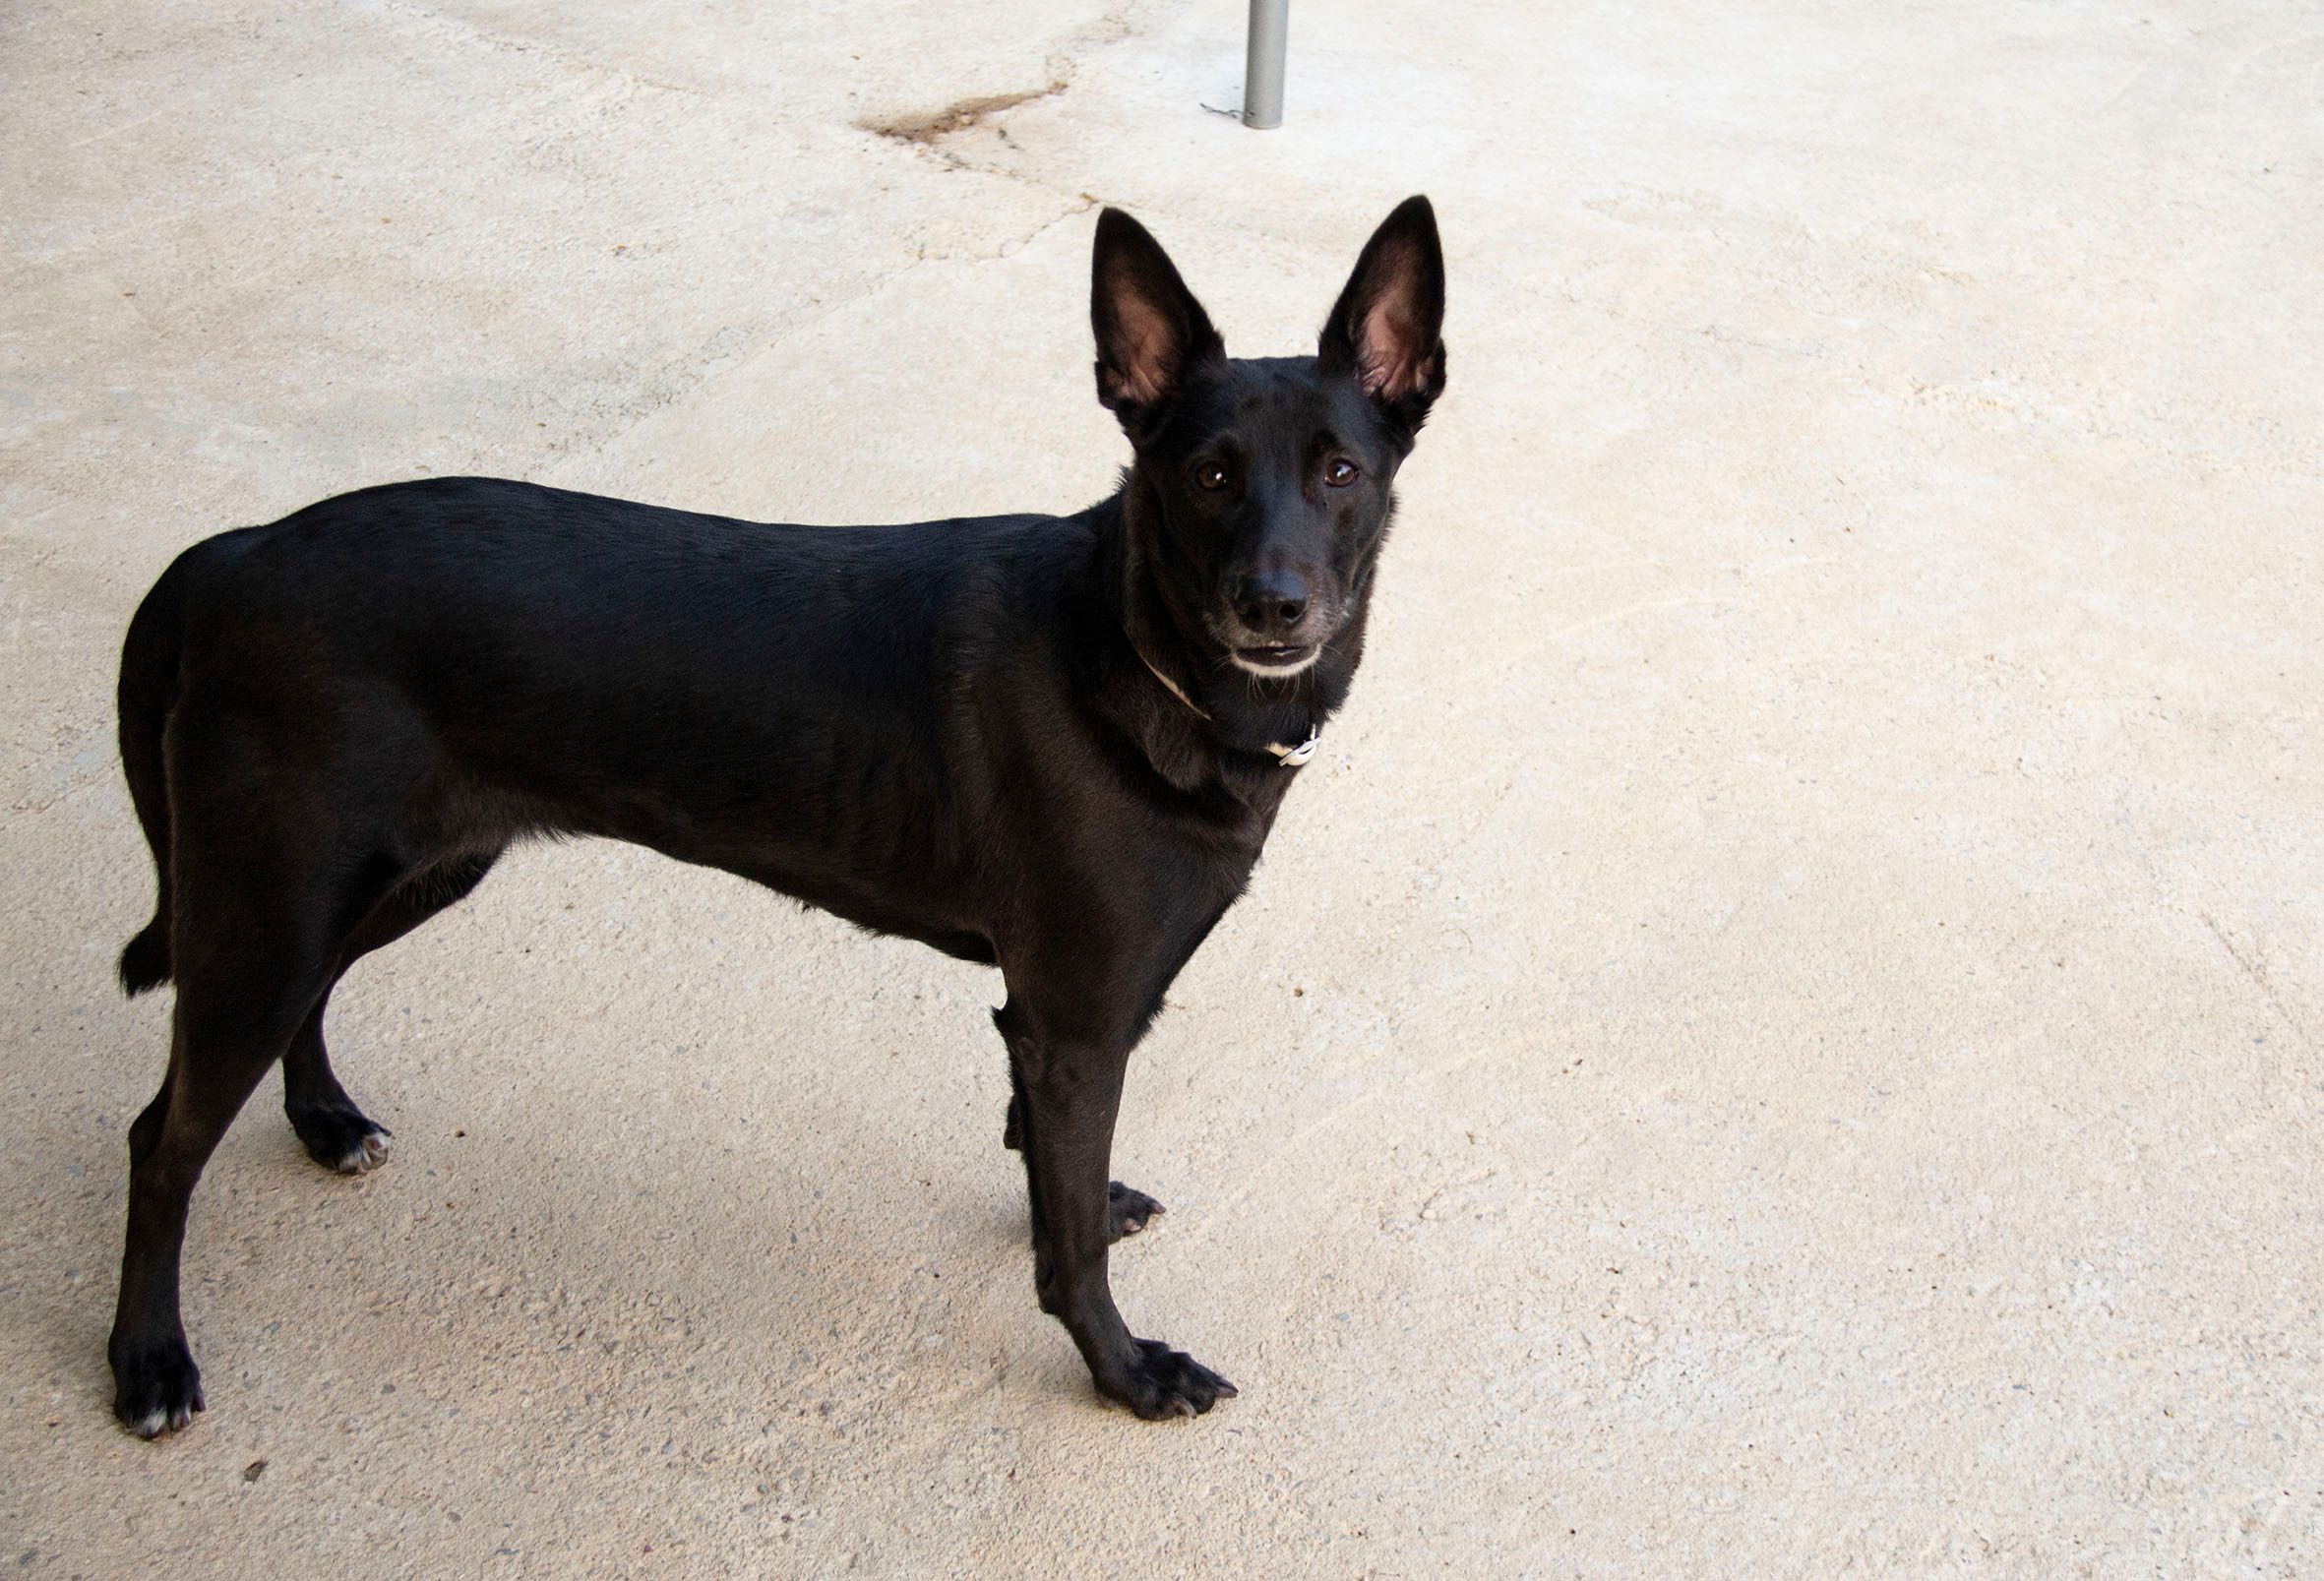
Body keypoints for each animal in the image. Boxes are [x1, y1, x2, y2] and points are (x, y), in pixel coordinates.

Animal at [104, 197, 1446, 1434]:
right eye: (1208, 474)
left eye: (1340, 472)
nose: (1272, 605)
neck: (1129, 653)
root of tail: (235, 554)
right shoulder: (1075, 1021)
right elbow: (1069, 1252)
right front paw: (1125, 1370)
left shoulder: (1050, 1022)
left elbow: (1050, 1170)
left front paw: (1081, 1201)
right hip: (277, 898)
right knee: (159, 1141)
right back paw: (147, 1359)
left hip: (384, 877)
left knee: (306, 1001)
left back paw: (323, 1122)